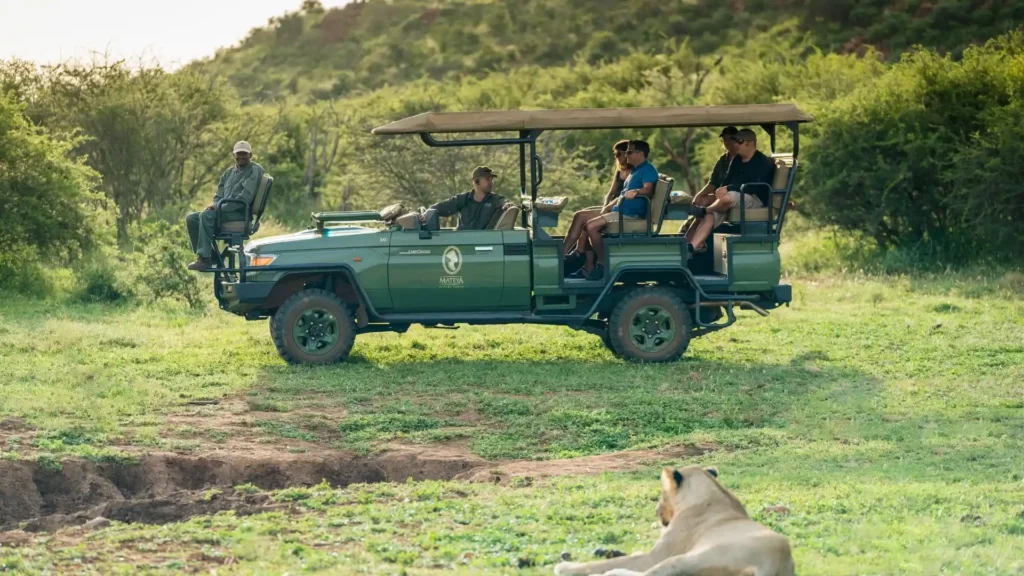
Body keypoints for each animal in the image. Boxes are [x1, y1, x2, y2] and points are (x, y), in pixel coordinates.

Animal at [553, 466, 794, 576]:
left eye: (661, 494)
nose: (655, 510)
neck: (714, 493)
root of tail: (776, 564)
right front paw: (607, 551)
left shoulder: (656, 555)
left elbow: (613, 562)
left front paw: (566, 566)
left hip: (687, 559)